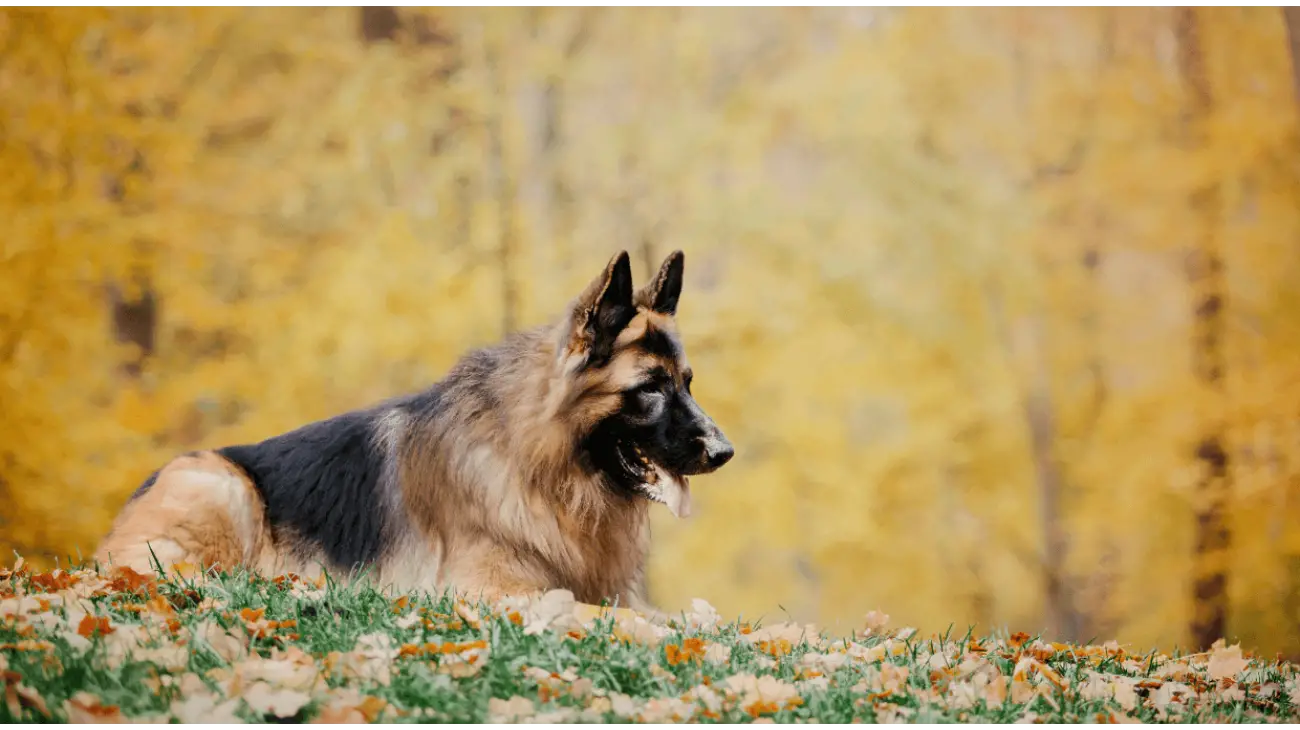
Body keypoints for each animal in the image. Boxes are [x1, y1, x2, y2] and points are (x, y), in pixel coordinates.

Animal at [94, 249, 733, 607]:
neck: (541, 465)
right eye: (650, 389)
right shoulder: (497, 594)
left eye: (687, 383)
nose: (724, 452)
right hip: (222, 484)